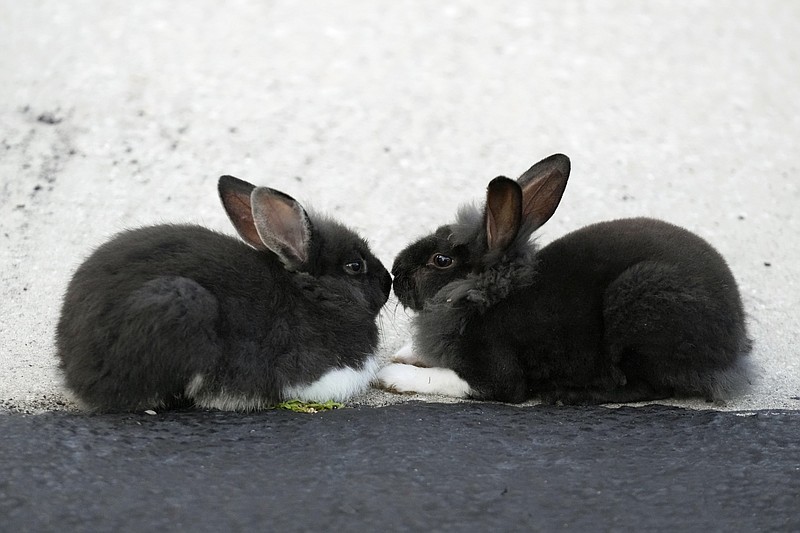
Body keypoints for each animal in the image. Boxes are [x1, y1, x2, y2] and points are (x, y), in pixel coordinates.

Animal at [378, 154, 752, 404]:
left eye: (441, 261)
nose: (395, 271)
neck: (487, 292)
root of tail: (732, 348)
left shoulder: (496, 377)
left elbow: (450, 380)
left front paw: (391, 375)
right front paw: (405, 353)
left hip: (642, 312)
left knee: (644, 387)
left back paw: (567, 395)